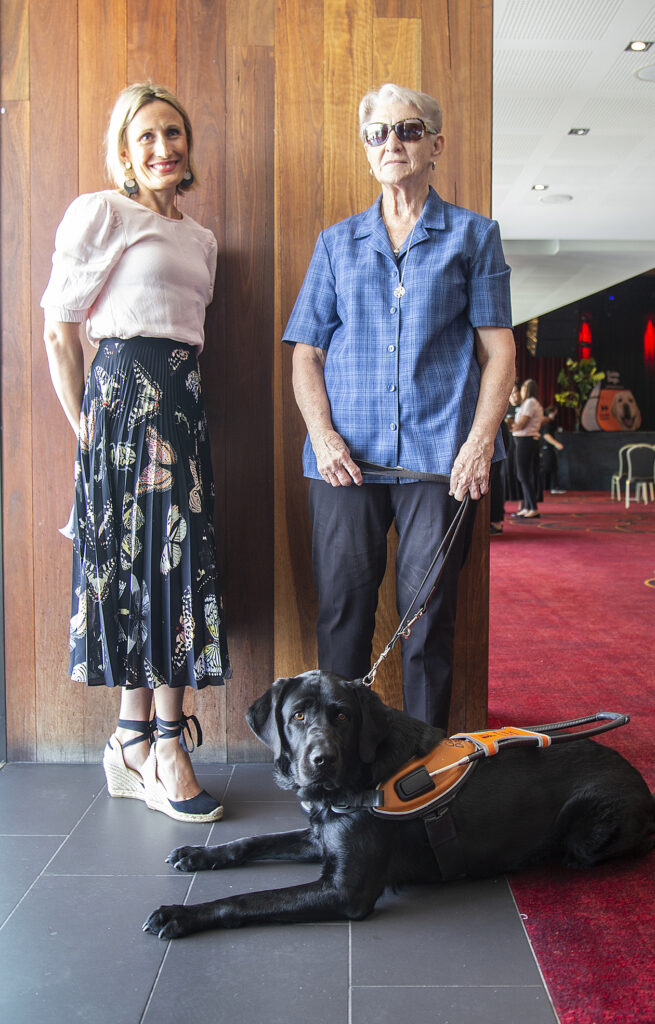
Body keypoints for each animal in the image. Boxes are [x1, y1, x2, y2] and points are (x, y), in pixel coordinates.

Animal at [143, 667, 655, 937]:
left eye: (343, 717)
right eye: (298, 716)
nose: (322, 760)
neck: (356, 781)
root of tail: (643, 786)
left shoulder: (345, 891)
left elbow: (248, 900)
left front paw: (181, 914)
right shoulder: (320, 836)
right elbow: (251, 842)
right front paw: (199, 854)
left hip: (589, 831)